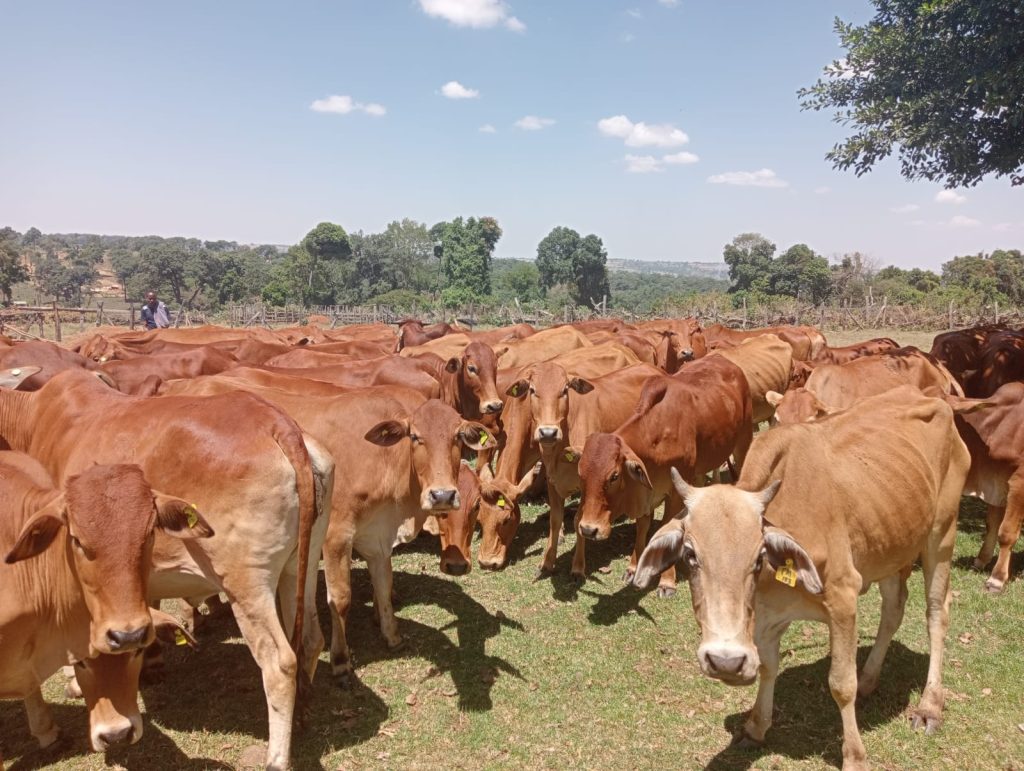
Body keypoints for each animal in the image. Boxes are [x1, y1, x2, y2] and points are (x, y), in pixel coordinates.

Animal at [577, 358, 753, 593]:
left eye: (614, 476)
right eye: (580, 474)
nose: (588, 530)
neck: (657, 435)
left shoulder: (675, 490)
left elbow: (666, 526)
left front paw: (667, 581)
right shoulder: (647, 490)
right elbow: (642, 526)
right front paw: (633, 568)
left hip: (744, 440)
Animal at [634, 384, 970, 769]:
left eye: (758, 557)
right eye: (690, 555)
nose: (725, 661)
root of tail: (926, 394)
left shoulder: (843, 599)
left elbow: (841, 683)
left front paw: (854, 756)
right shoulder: (766, 616)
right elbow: (768, 667)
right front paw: (756, 726)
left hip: (941, 535)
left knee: (936, 614)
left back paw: (929, 706)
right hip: (890, 544)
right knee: (894, 608)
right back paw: (870, 678)